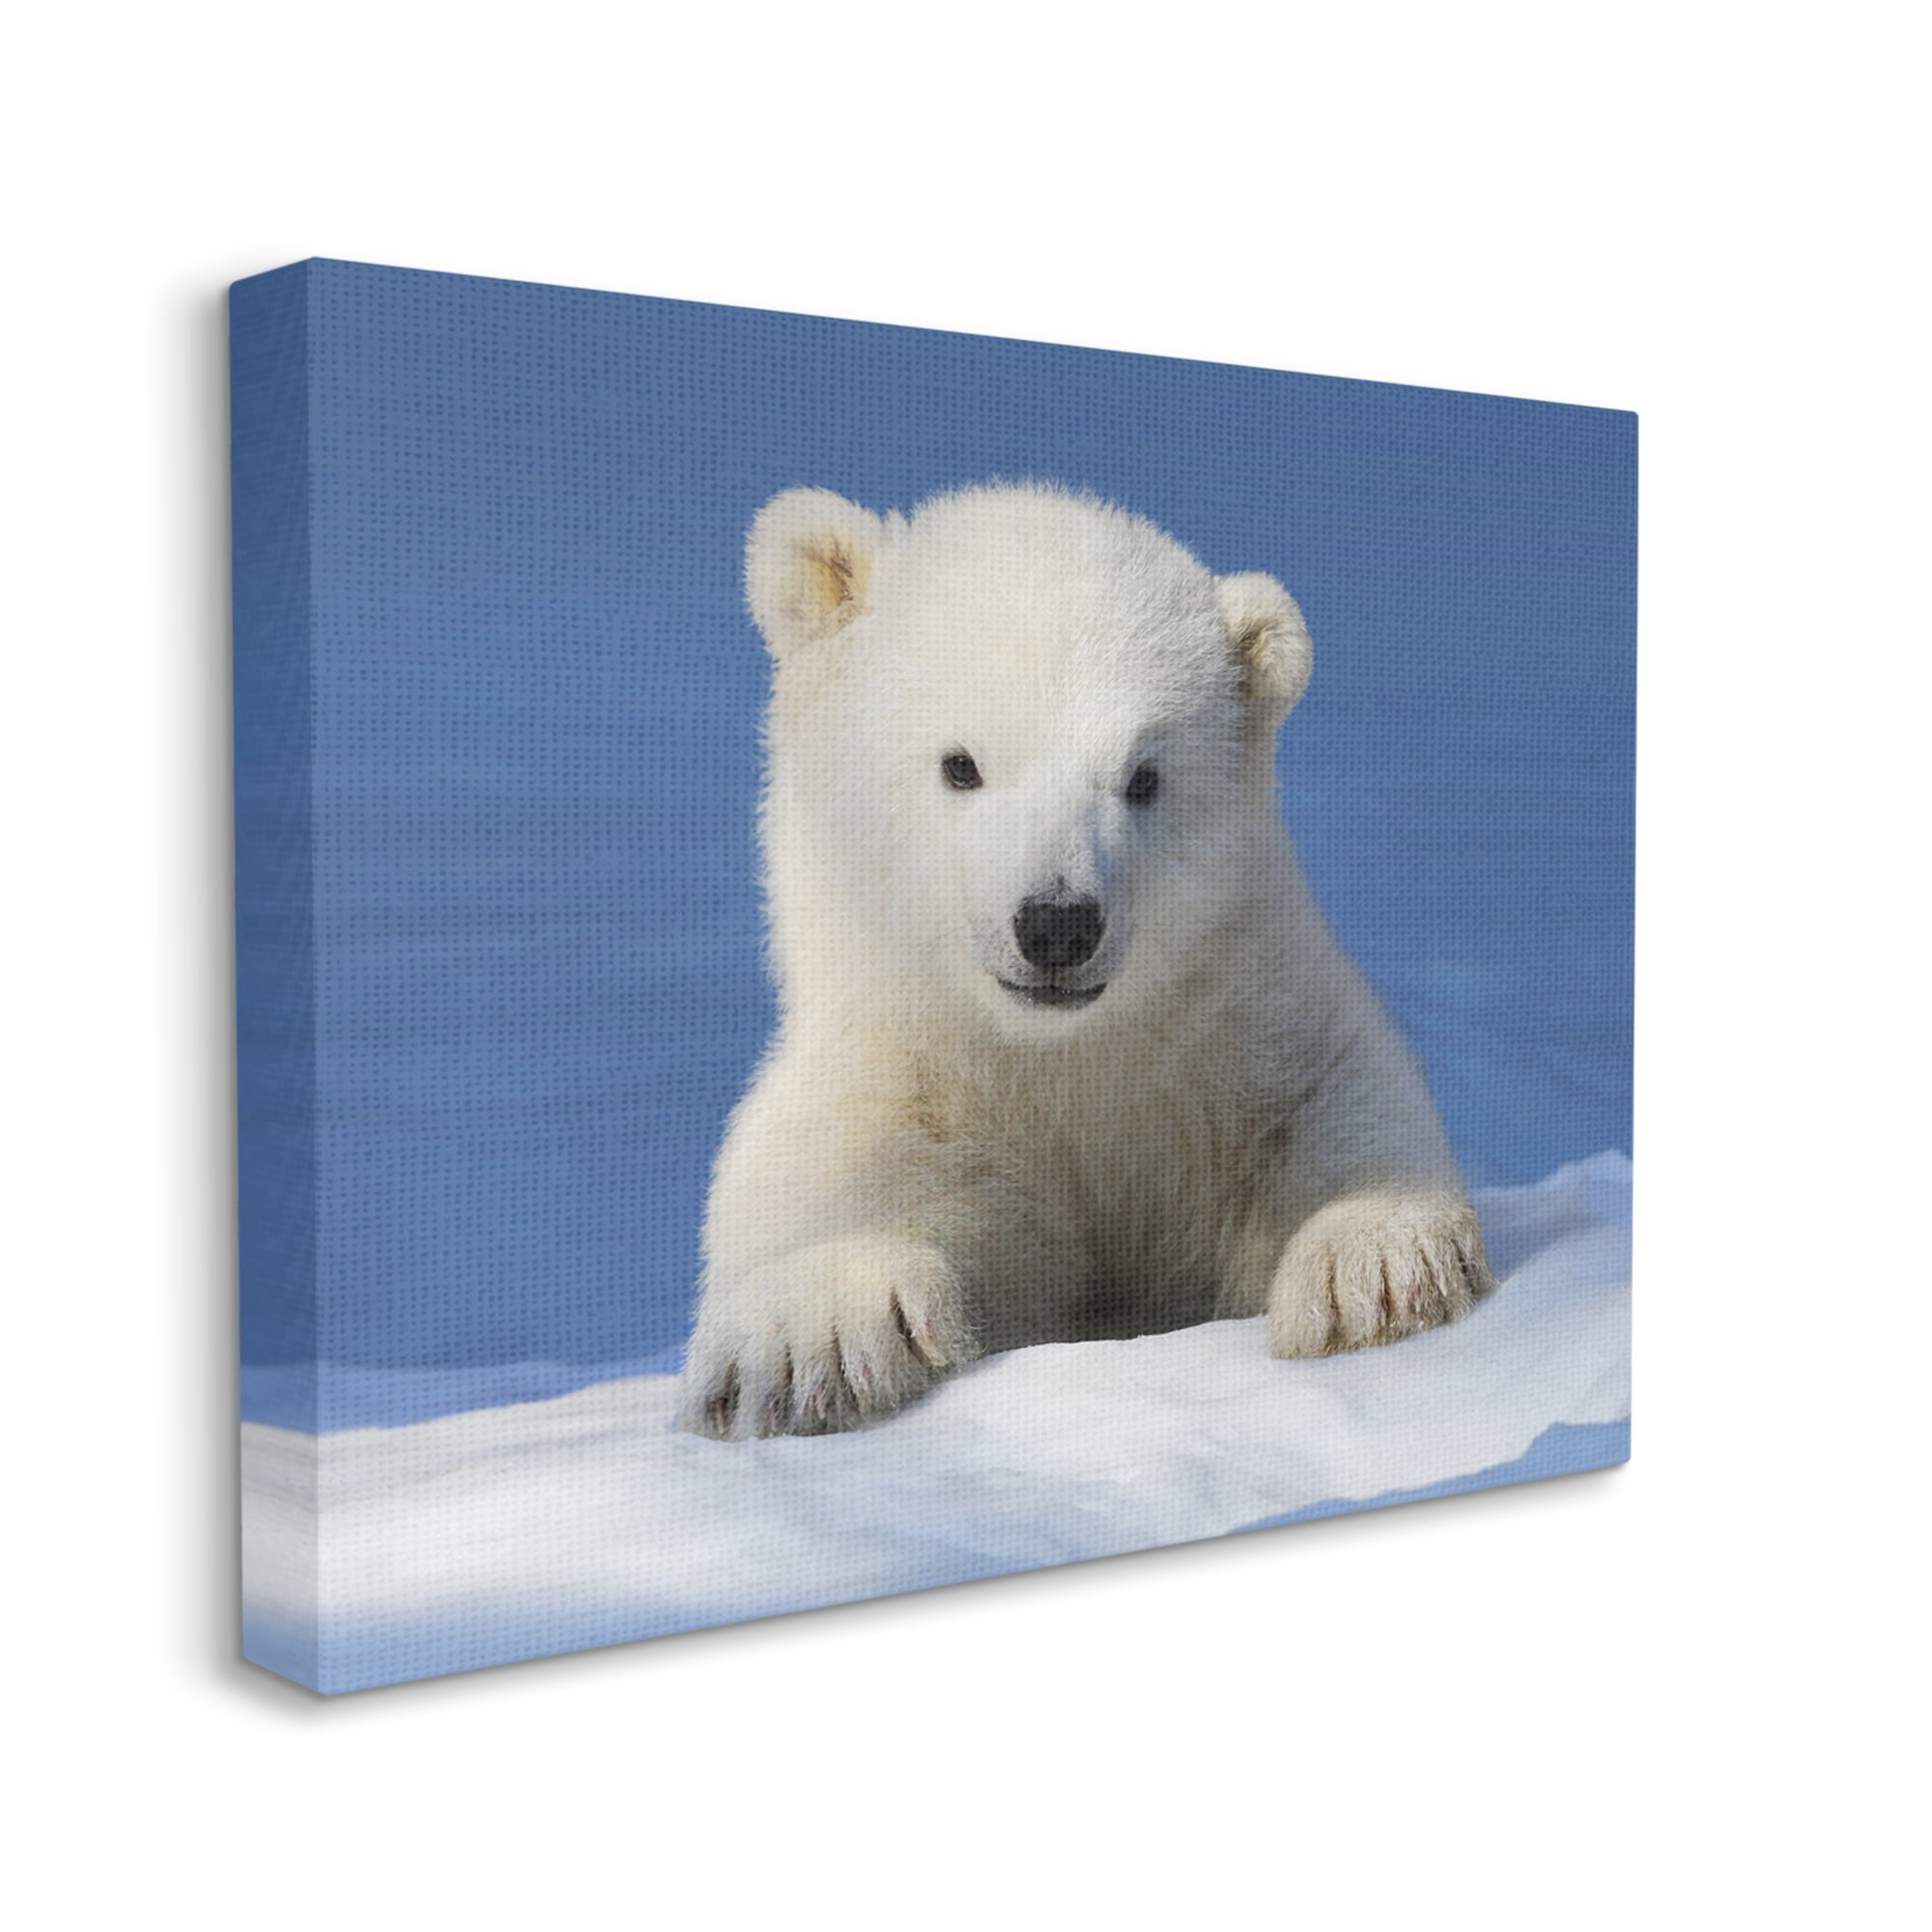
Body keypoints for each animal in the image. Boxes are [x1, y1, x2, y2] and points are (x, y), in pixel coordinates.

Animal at [680, 482, 1494, 1440]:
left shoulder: (1236, 1023)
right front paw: (820, 1338)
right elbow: (819, 1177)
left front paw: (1375, 1268)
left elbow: (1334, 1091)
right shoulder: (900, 1076)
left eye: (1143, 777)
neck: (1060, 1061)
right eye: (961, 765)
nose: (1058, 924)